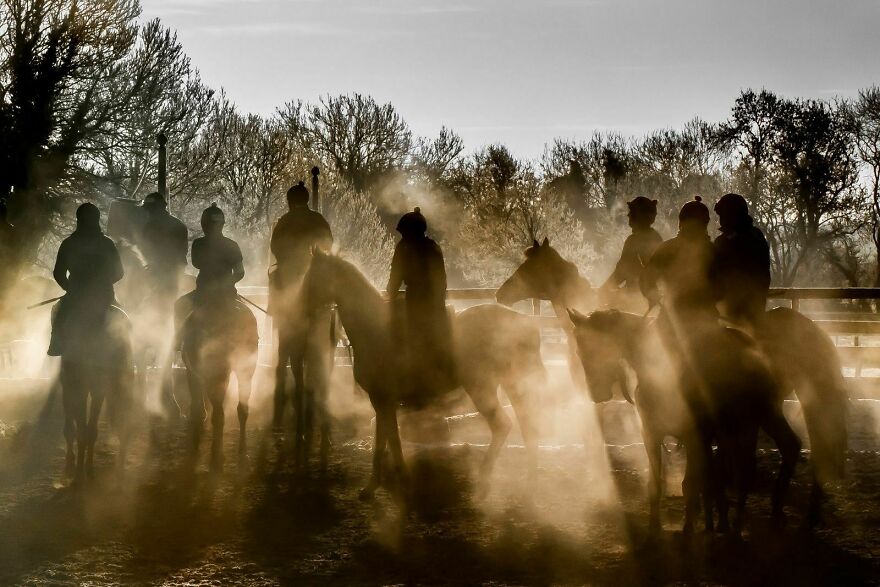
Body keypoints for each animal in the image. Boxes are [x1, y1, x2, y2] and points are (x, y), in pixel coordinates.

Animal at [57, 304, 133, 482]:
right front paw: (82, 468)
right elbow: (82, 428)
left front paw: (75, 468)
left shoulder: (78, 388)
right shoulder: (89, 389)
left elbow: (77, 429)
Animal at [179, 298, 258, 474]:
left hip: (216, 375)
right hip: (245, 371)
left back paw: (216, 457)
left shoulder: (192, 374)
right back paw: (243, 455)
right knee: (242, 410)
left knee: (218, 414)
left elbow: (198, 409)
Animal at [304, 249, 552, 500]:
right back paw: (530, 479)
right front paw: (376, 485)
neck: (375, 329)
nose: (303, 307)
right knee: (527, 425)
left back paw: (484, 480)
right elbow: (384, 438)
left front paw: (396, 479)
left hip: (482, 388)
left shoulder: (382, 399)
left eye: (312, 275)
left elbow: (390, 439)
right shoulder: (383, 400)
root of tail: (525, 324)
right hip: (514, 385)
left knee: (503, 425)